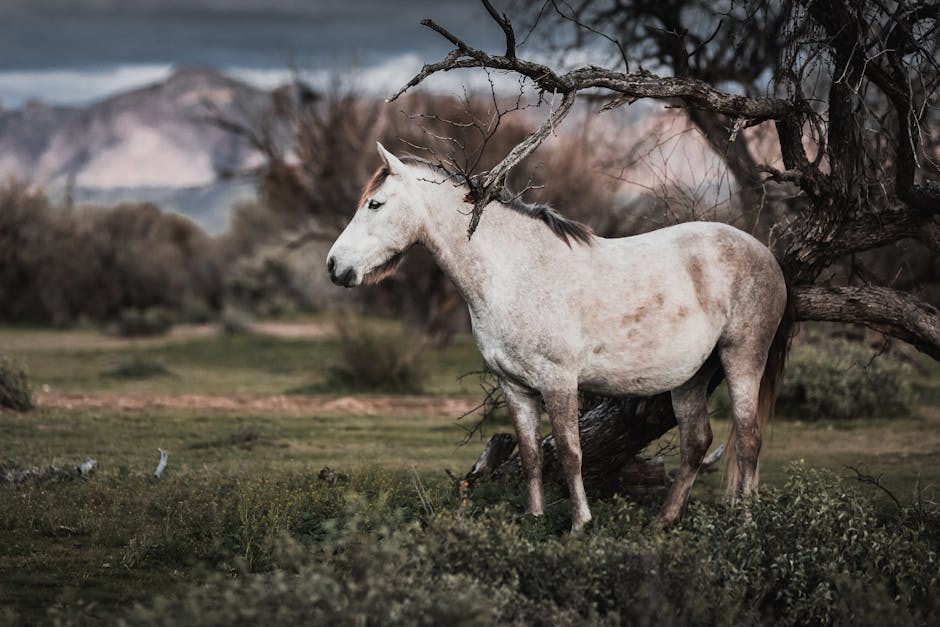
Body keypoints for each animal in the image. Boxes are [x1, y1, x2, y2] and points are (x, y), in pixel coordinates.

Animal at [326, 145, 788, 532]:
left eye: (375, 204)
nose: (334, 266)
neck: (515, 272)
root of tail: (765, 254)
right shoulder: (514, 386)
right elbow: (532, 455)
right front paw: (534, 519)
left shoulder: (559, 381)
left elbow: (569, 452)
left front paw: (580, 524)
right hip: (692, 375)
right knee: (697, 442)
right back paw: (664, 522)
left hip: (742, 357)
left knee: (748, 440)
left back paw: (746, 524)